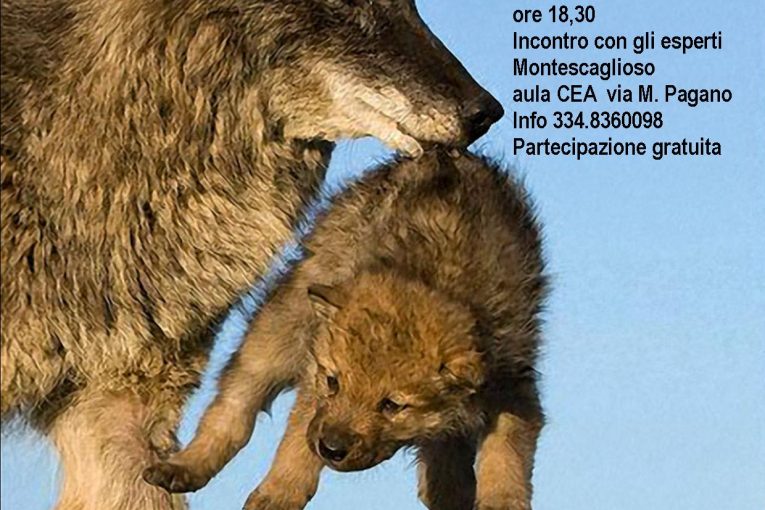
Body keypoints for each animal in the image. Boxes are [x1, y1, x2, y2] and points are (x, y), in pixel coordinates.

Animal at [144, 151, 547, 510]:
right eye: (333, 383)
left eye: (391, 405)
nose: (331, 449)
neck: (435, 278)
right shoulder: (314, 382)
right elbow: (296, 439)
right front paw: (279, 493)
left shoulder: (511, 385)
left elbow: (506, 454)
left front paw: (502, 501)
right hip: (281, 328)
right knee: (234, 404)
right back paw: (186, 464)